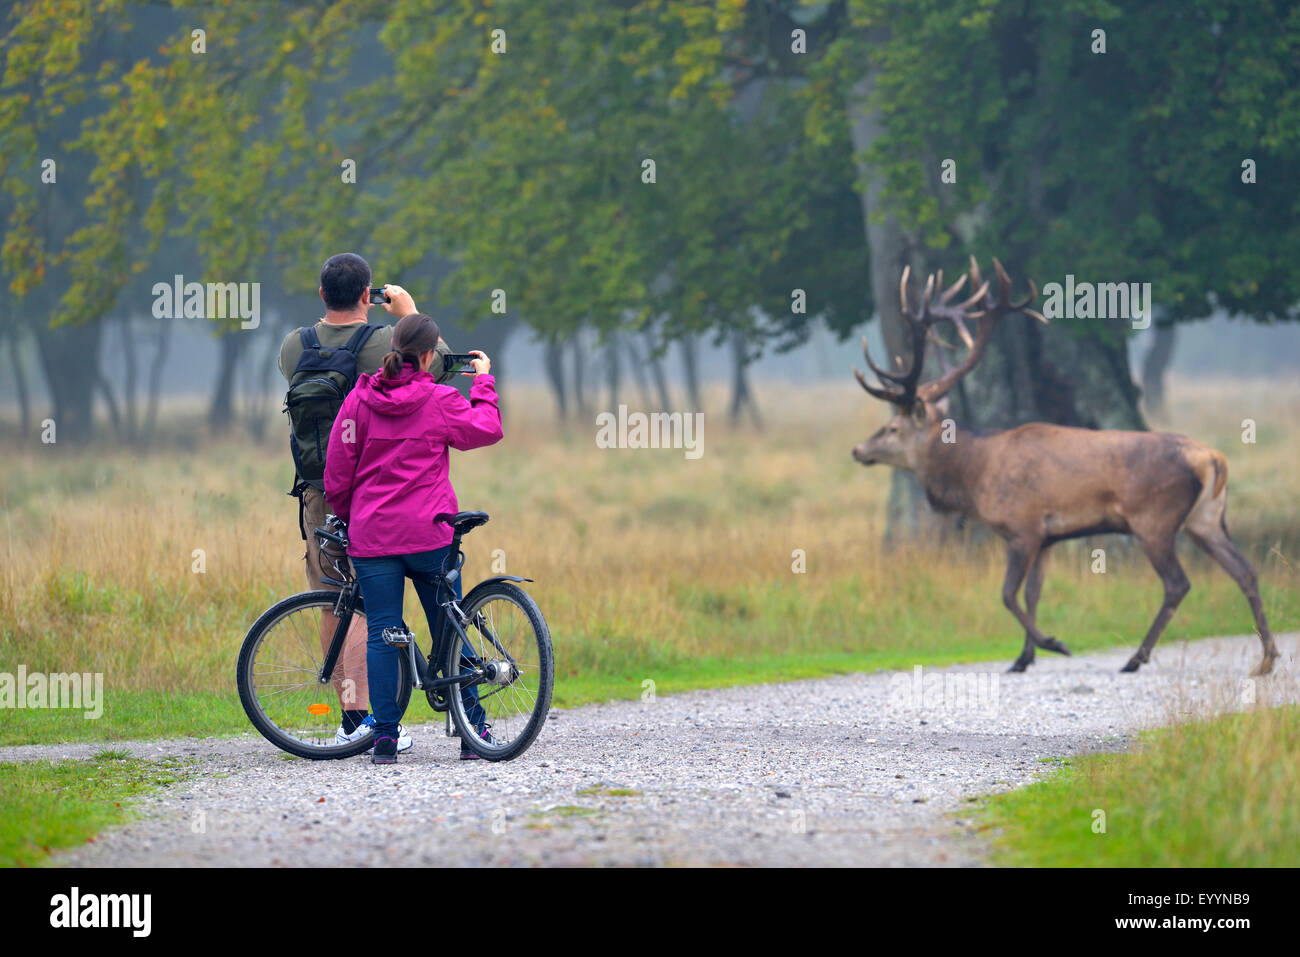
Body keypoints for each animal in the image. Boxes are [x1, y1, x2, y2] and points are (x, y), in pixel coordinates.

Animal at [851, 256, 1279, 676]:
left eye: (892, 427)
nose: (858, 449)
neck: (976, 477)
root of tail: (1213, 459)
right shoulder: (1047, 537)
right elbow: (1032, 592)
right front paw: (1023, 658)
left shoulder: (1022, 527)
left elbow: (1007, 594)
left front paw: (1053, 644)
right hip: (1206, 519)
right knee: (1246, 570)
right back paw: (1266, 658)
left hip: (1154, 519)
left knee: (1178, 583)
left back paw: (1136, 657)